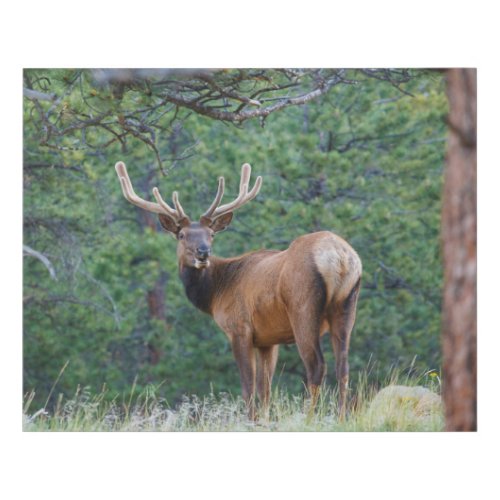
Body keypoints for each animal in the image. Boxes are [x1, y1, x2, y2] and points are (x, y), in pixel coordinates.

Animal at [115, 160, 362, 418]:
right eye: (181, 235)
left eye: (211, 234)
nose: (203, 252)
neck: (215, 293)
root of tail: (341, 258)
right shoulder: (267, 339)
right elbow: (265, 389)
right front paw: (264, 420)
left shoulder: (239, 328)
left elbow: (248, 387)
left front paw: (251, 420)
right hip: (347, 306)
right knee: (343, 366)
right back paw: (342, 417)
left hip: (303, 308)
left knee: (316, 366)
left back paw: (308, 418)